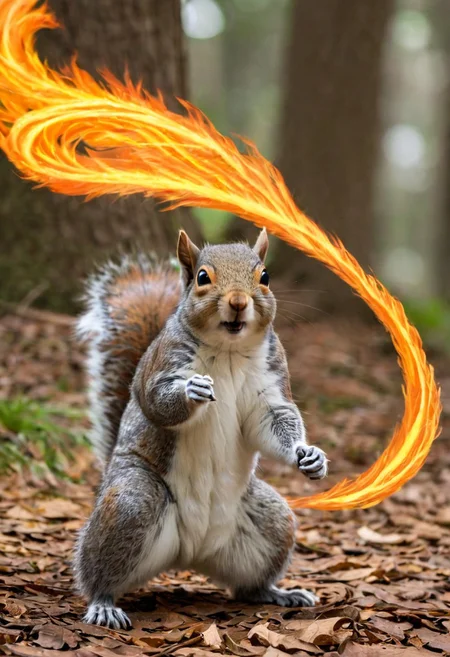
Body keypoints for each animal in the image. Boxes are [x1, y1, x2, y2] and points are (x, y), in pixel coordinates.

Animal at [74, 229, 328, 630]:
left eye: (265, 276)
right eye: (202, 278)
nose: (238, 302)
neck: (228, 349)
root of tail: (188, 554)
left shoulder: (270, 385)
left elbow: (273, 421)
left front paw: (310, 456)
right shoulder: (161, 364)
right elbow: (157, 400)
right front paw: (191, 391)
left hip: (272, 521)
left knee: (248, 585)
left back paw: (277, 592)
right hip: (132, 503)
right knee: (97, 570)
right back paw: (102, 603)